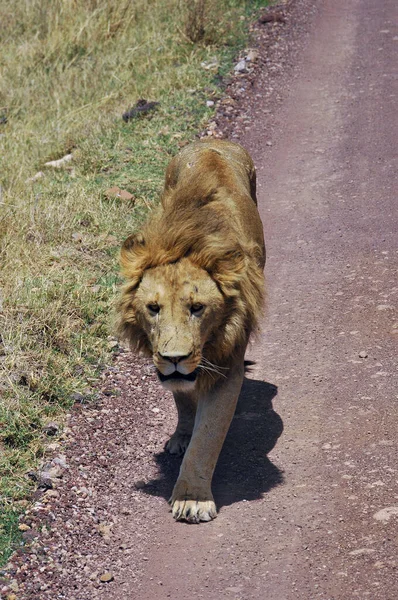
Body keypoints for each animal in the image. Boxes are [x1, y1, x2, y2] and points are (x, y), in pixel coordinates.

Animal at [116, 138, 266, 524]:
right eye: (153, 308)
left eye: (197, 308)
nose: (174, 358)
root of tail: (213, 142)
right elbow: (183, 400)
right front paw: (184, 436)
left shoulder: (227, 364)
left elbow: (208, 436)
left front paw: (192, 499)